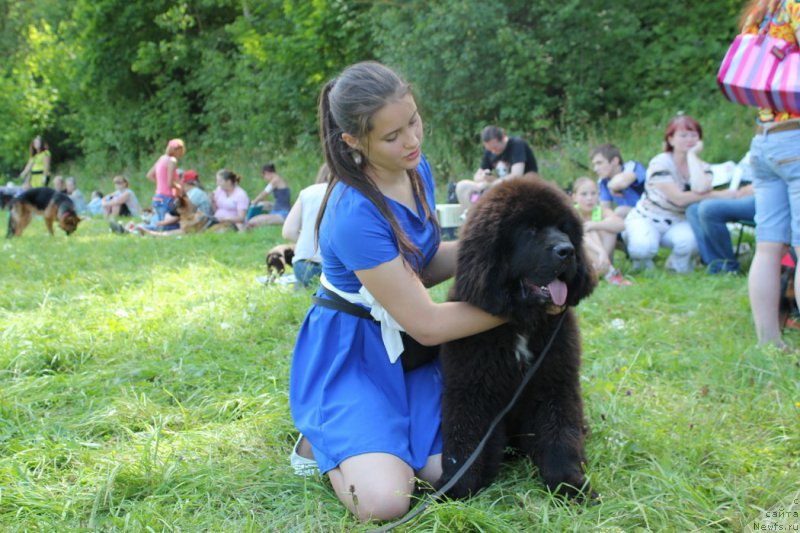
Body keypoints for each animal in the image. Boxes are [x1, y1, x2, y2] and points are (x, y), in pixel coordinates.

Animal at [438, 175, 592, 498]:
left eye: (564, 228)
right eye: (530, 230)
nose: (568, 250)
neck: (521, 323)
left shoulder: (555, 384)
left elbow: (561, 436)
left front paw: (569, 485)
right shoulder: (471, 390)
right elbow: (463, 444)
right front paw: (454, 491)